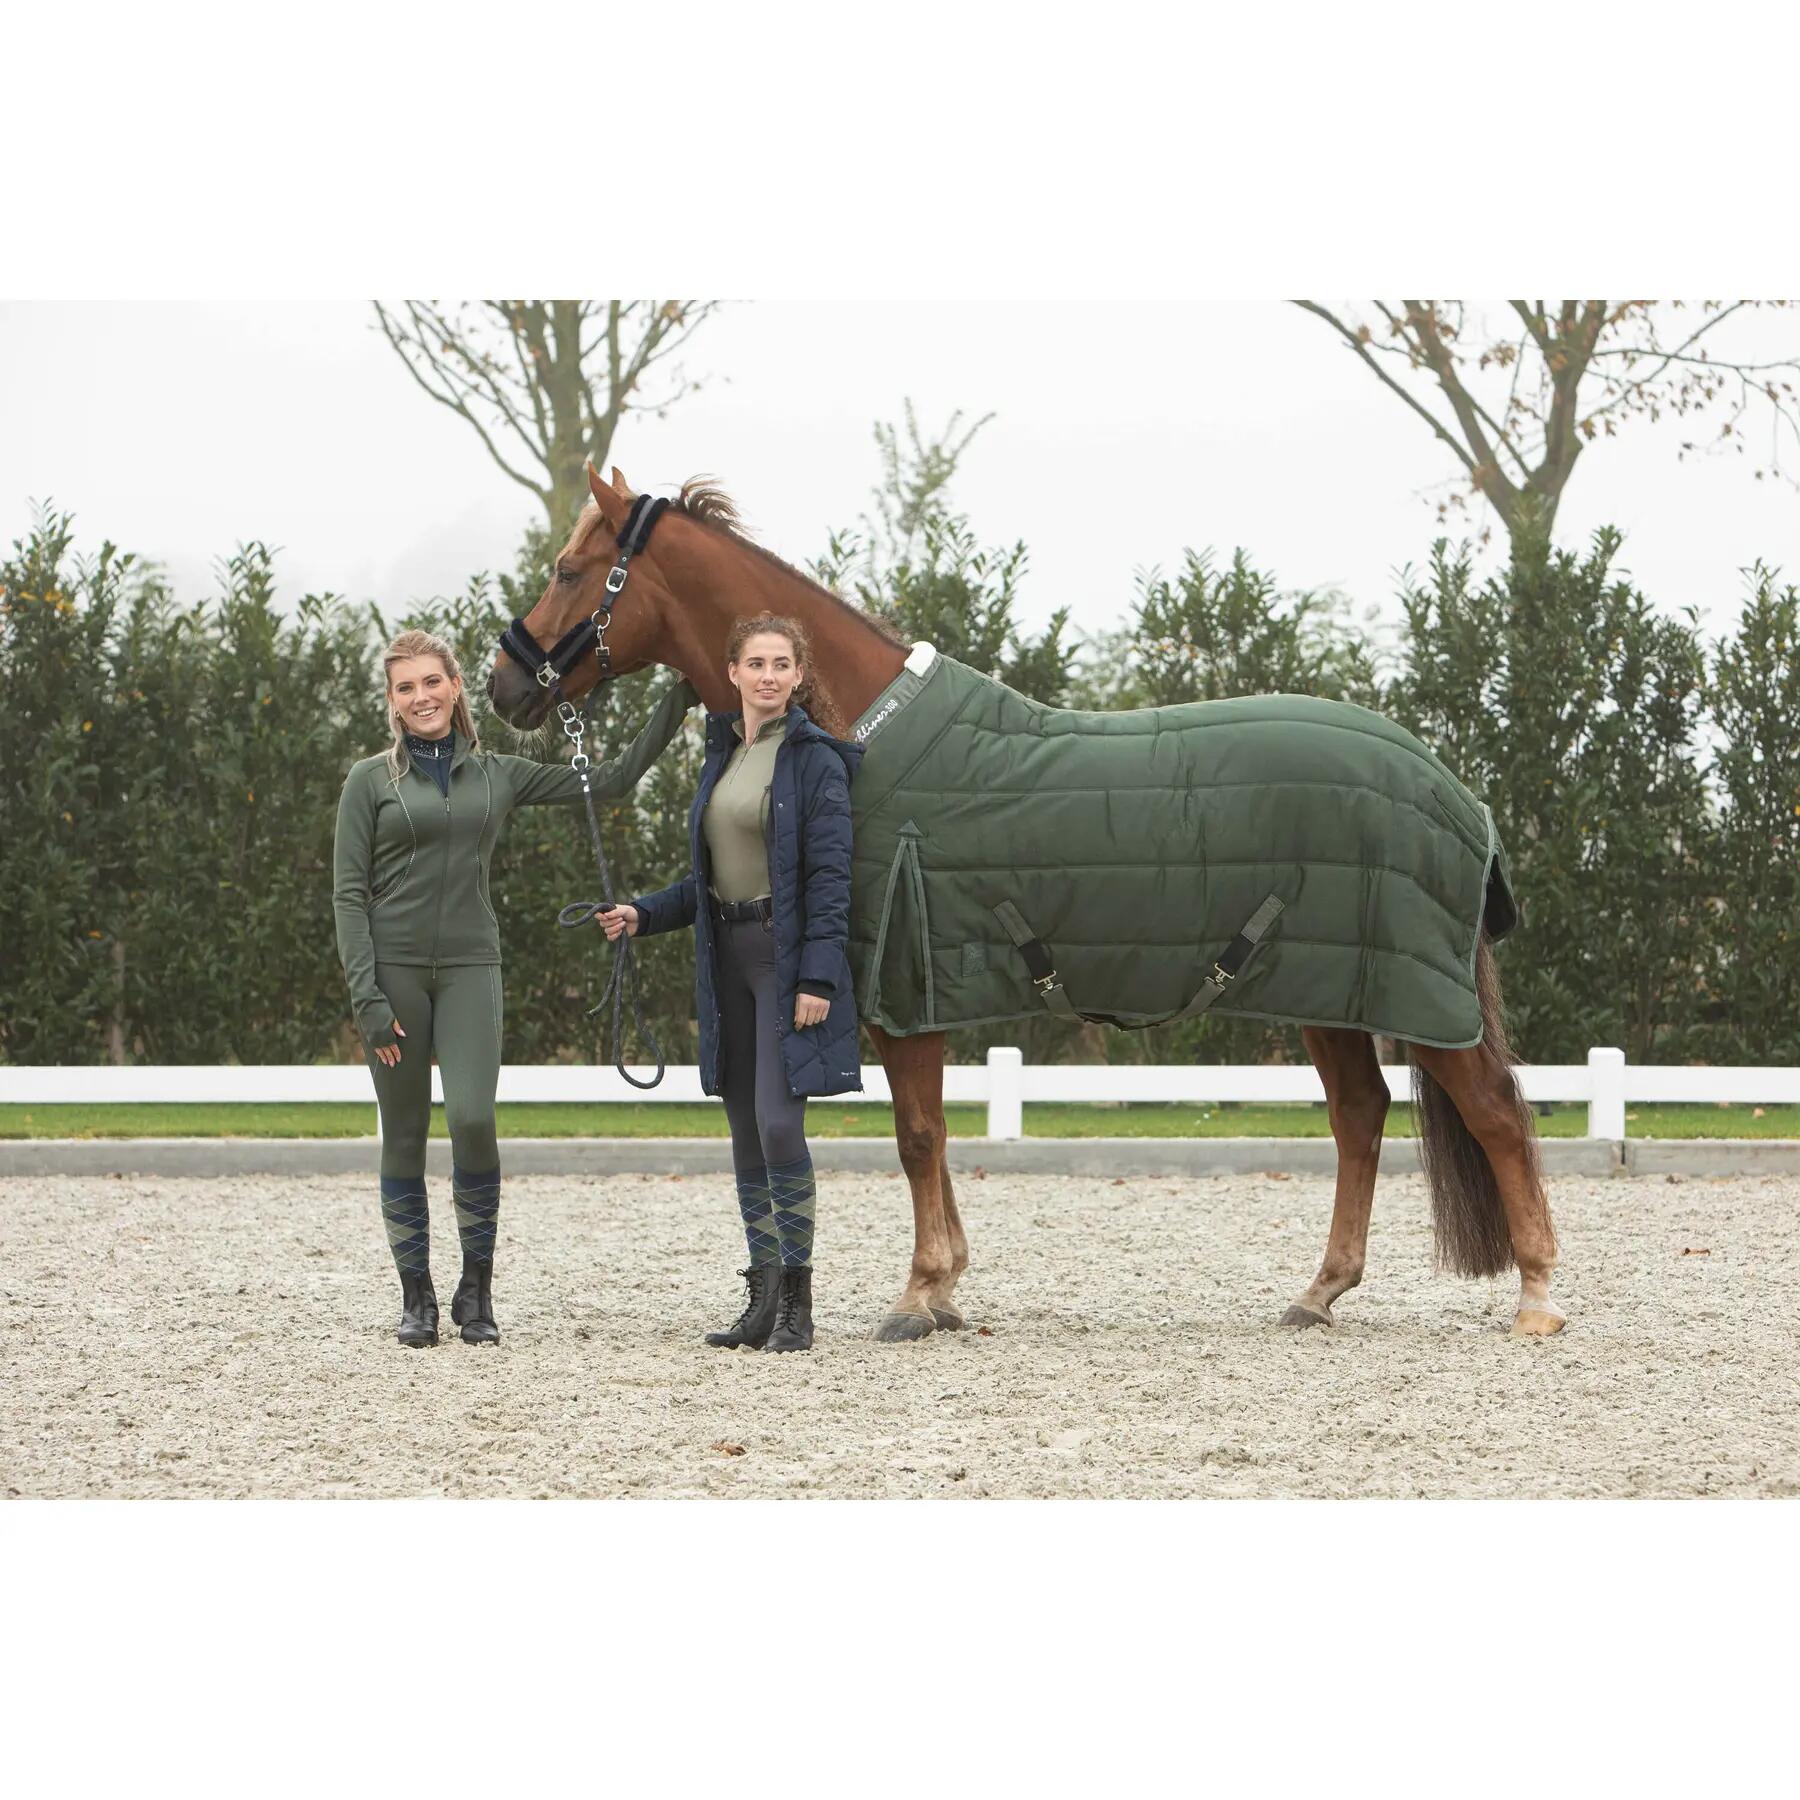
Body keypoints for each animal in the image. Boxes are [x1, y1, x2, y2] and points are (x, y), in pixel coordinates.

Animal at [488, 464, 1563, 1341]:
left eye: (571, 567)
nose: (503, 684)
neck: (859, 730)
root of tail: (1454, 789)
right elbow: (929, 1140)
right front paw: (947, 1289)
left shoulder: (903, 993)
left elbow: (918, 1136)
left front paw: (921, 1292)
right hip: (1333, 992)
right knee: (1360, 1117)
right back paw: (1320, 1292)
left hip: (1412, 998)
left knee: (1497, 1115)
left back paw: (1537, 1296)